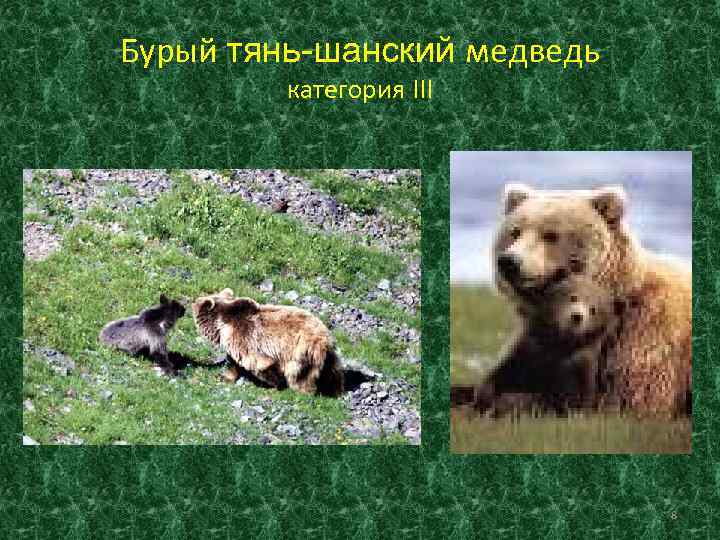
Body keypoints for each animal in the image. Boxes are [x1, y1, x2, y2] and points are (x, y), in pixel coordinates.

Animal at [192, 288, 344, 397]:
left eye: (198, 301)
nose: (193, 301)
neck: (222, 326)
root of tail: (325, 342)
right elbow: (234, 363)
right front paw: (225, 376)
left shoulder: (244, 337)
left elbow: (259, 362)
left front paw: (274, 384)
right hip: (330, 357)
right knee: (334, 373)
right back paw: (336, 390)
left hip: (302, 353)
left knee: (300, 375)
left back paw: (303, 391)